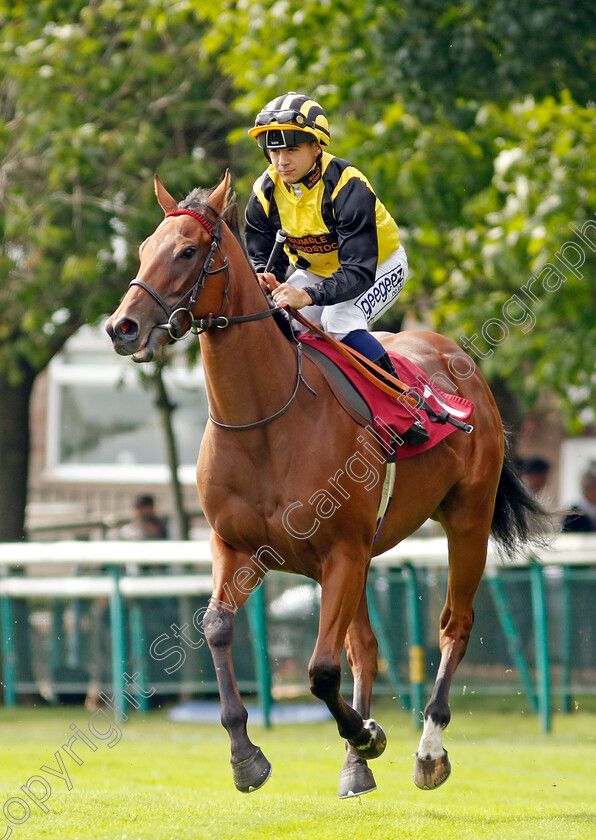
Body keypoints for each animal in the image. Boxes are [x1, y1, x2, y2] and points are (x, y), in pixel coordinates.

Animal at [105, 174, 548, 796]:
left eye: (188, 251)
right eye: (144, 247)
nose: (121, 327)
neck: (265, 421)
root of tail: (460, 363)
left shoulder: (341, 550)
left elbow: (319, 670)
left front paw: (368, 734)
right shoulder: (239, 547)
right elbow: (218, 628)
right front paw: (246, 754)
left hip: (466, 520)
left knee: (453, 626)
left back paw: (427, 749)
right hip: (361, 555)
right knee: (364, 646)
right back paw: (355, 767)